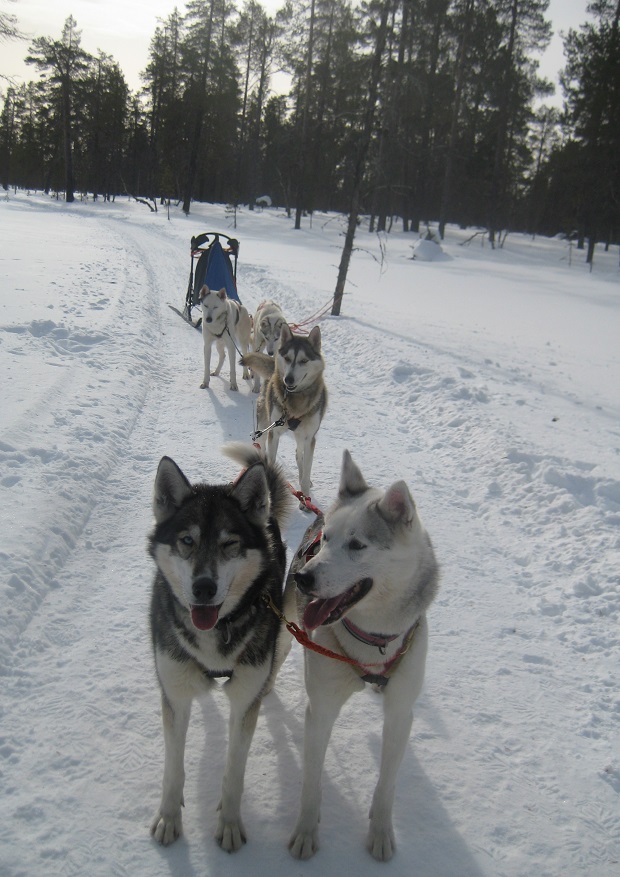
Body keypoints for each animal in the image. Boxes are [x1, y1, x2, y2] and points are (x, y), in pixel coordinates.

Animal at [148, 443, 293, 852]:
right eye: (187, 541)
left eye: (230, 544)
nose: (203, 588)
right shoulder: (174, 693)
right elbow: (173, 767)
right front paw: (169, 817)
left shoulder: (245, 701)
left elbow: (234, 771)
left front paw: (228, 824)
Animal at [241, 324, 327, 505]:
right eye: (287, 358)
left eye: (304, 361)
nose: (288, 379)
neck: (295, 403)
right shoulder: (274, 432)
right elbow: (271, 459)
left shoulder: (309, 438)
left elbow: (307, 468)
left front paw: (305, 497)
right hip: (263, 426)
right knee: (261, 445)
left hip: (301, 437)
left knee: (299, 455)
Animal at [285, 450, 439, 861]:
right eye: (327, 539)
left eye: (356, 546)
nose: (303, 578)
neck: (373, 640)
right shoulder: (320, 710)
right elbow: (310, 783)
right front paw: (306, 831)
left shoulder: (401, 714)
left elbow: (387, 784)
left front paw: (381, 832)